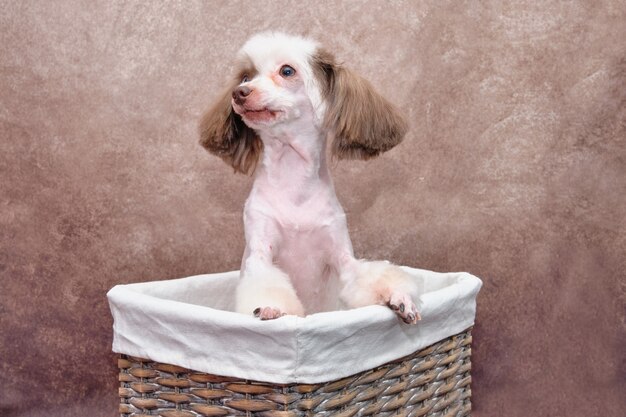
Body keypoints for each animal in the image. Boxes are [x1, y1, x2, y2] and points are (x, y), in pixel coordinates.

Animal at [199, 33, 420, 324]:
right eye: (246, 76)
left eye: (287, 71)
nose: (240, 92)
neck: (295, 186)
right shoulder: (260, 247)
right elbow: (264, 280)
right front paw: (270, 306)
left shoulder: (341, 255)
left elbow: (369, 275)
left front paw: (398, 296)